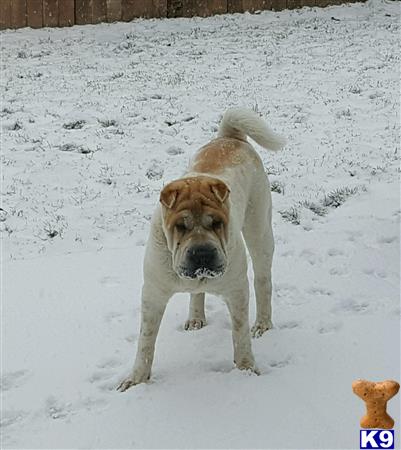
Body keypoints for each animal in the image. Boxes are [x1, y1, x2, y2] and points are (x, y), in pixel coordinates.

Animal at [115, 109, 284, 390]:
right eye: (180, 226)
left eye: (216, 223)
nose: (202, 252)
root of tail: (230, 137)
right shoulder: (153, 293)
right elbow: (146, 340)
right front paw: (136, 380)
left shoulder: (236, 290)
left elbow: (240, 333)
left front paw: (246, 369)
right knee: (198, 294)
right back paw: (196, 318)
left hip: (259, 229)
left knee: (263, 281)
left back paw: (262, 324)